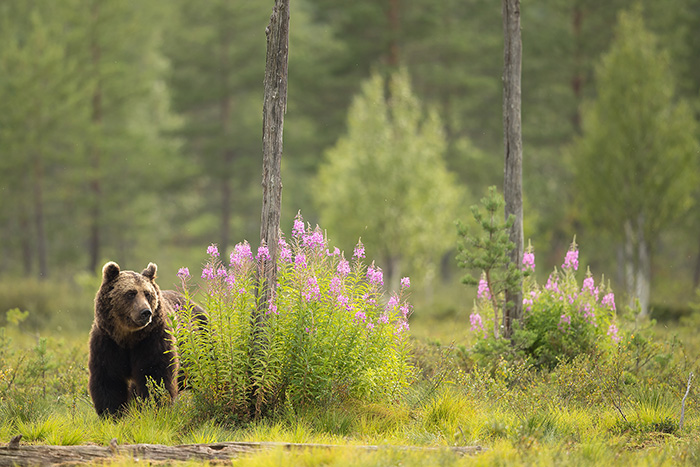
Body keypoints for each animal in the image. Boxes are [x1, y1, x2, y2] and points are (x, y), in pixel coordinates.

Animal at [88, 261, 201, 417]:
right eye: (130, 293)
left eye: (147, 294)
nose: (146, 312)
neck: (128, 337)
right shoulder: (107, 342)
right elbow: (109, 379)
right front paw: (111, 413)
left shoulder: (153, 339)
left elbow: (154, 375)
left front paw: (153, 407)